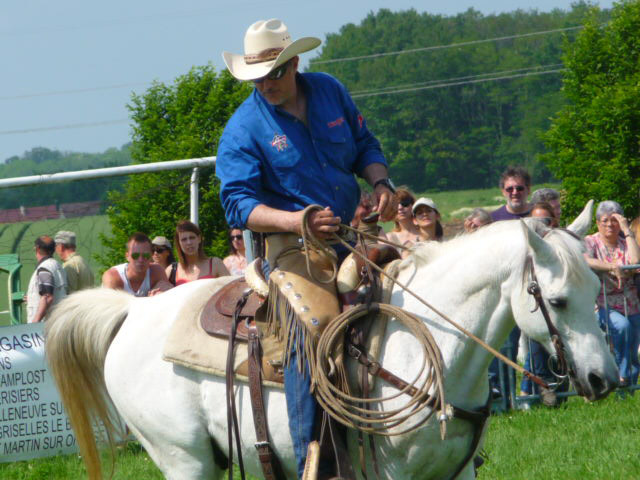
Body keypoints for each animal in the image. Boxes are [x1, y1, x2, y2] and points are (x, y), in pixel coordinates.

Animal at [46, 206, 620, 480]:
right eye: (558, 300)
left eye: (596, 291)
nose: (605, 379)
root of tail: (134, 311)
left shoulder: (455, 474)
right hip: (184, 460)